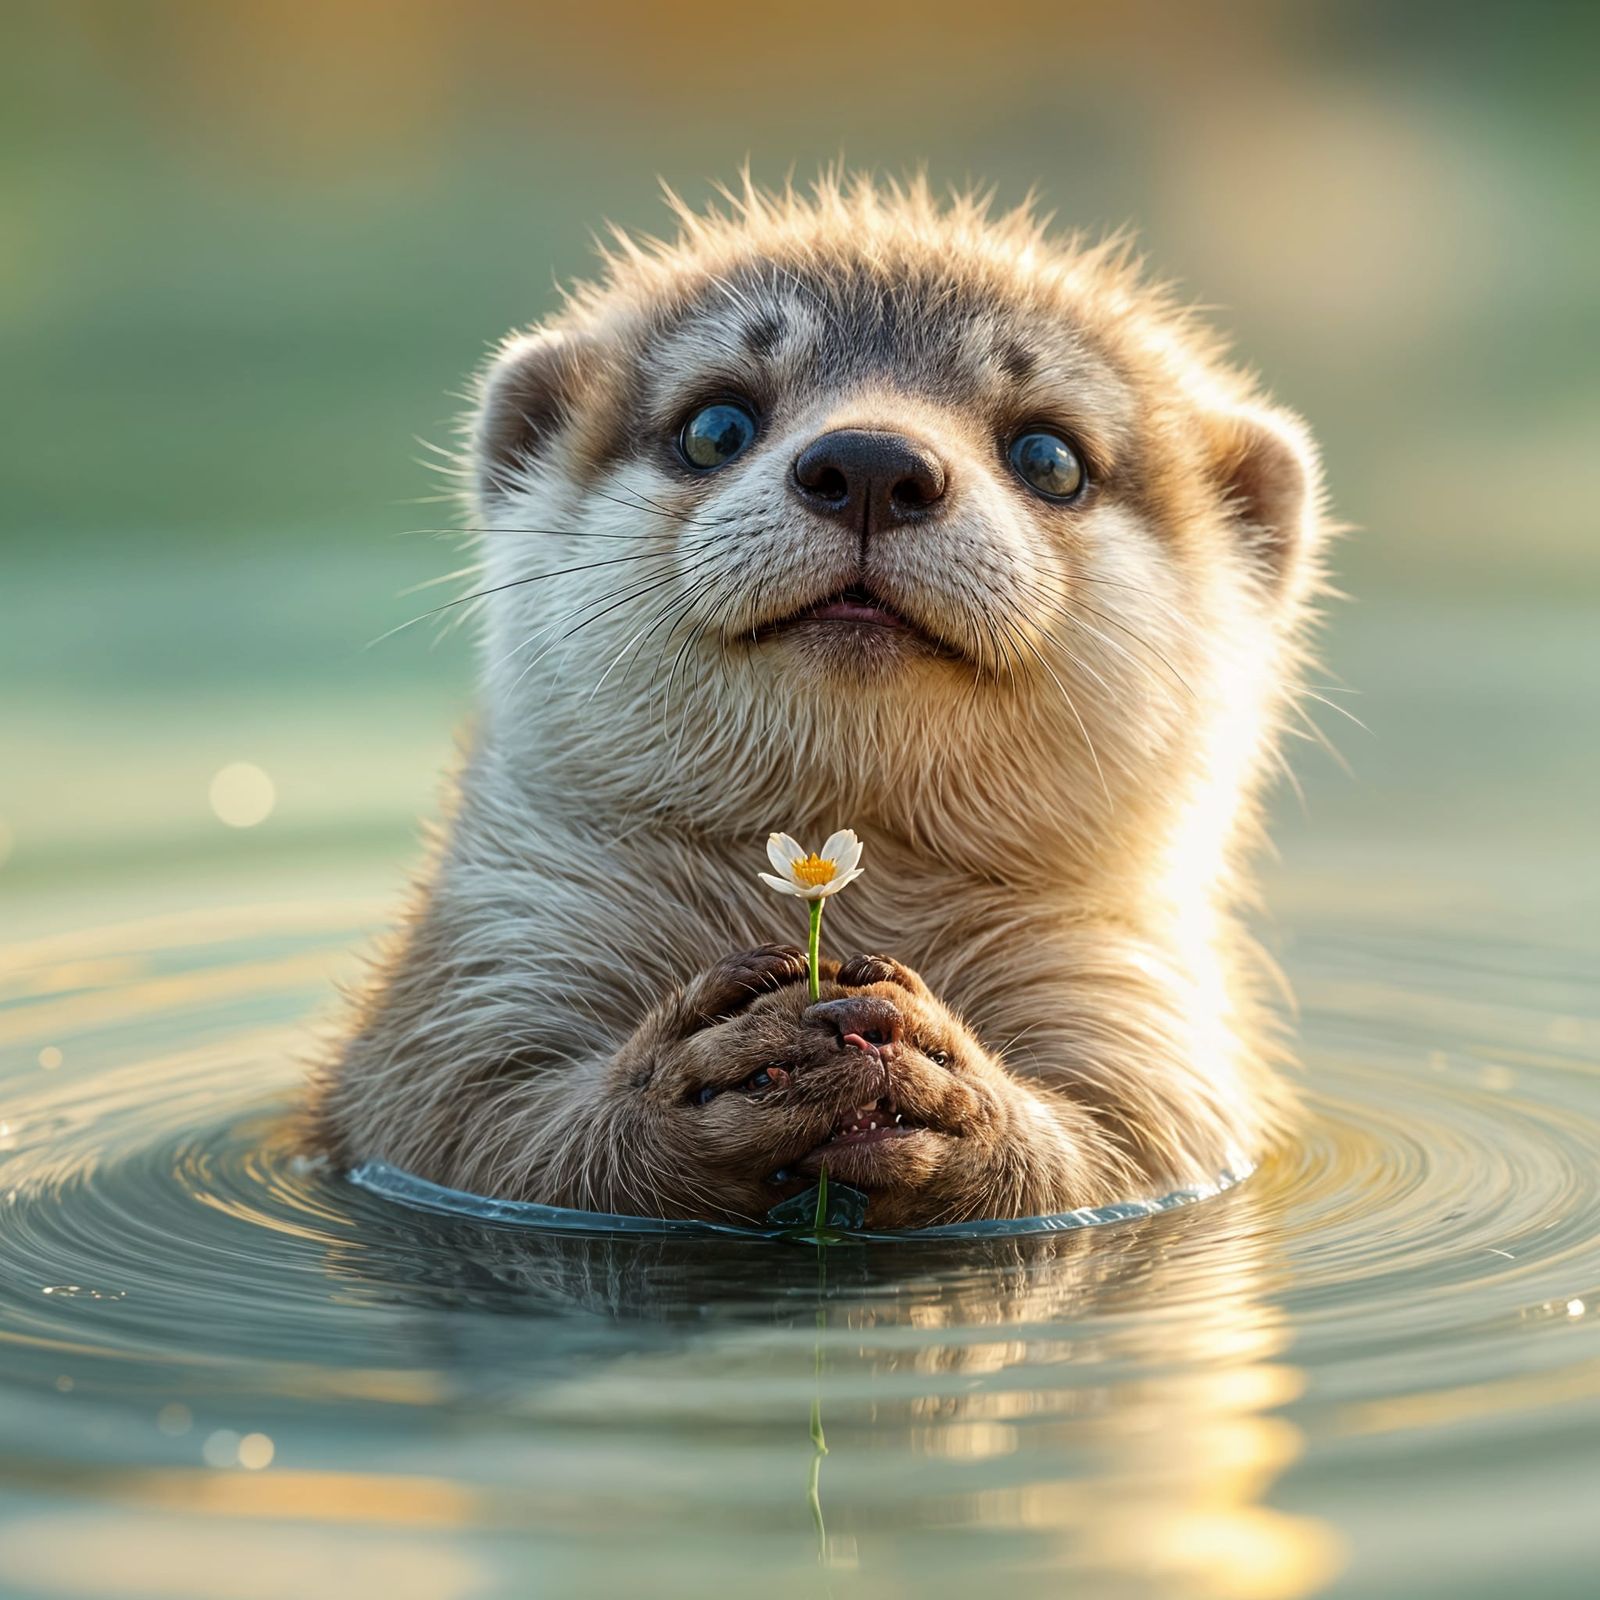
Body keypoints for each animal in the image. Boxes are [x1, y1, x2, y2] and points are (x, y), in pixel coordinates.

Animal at [313, 177, 1329, 1227]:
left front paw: (948, 1081)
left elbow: (1115, 1153)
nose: (874, 461)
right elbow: (483, 1131)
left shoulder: (1141, 1022)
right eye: (715, 426)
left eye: (1051, 456)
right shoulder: (492, 972)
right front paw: (690, 1077)